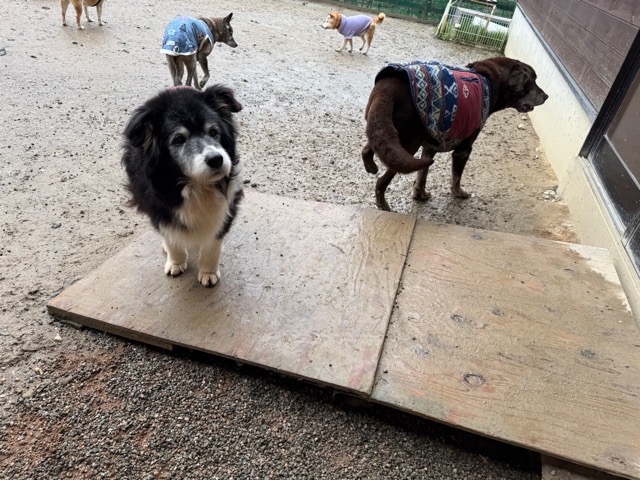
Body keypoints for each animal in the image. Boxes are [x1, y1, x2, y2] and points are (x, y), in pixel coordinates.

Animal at [121, 85, 244, 287]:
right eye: (178, 139)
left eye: (213, 132)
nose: (216, 160)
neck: (195, 184)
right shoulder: (157, 205)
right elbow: (171, 236)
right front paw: (176, 263)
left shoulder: (227, 204)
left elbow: (213, 244)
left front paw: (208, 273)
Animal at [361, 57, 549, 211]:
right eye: (533, 81)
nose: (546, 96)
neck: (490, 81)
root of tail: (385, 88)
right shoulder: (464, 149)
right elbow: (456, 177)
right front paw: (459, 193)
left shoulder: (430, 146)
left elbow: (422, 174)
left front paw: (420, 195)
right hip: (408, 143)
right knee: (381, 181)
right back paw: (383, 204)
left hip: (387, 131)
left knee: (367, 149)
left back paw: (371, 167)